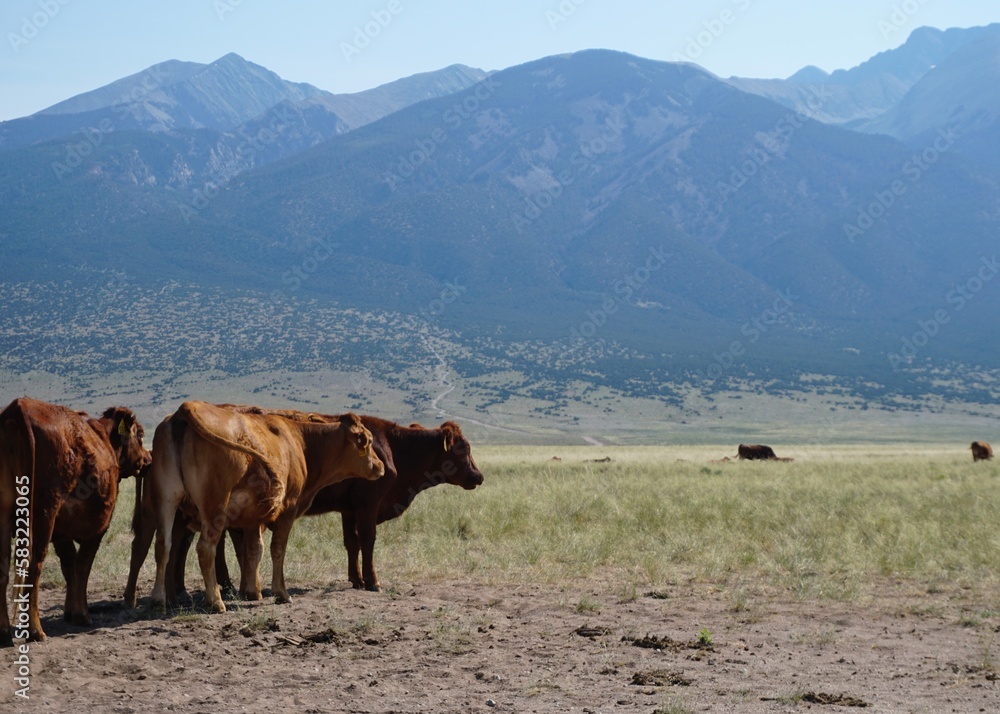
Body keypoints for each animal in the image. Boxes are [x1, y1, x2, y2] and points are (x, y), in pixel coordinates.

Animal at [0, 397, 150, 644]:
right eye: (140, 434)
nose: (148, 459)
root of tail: (20, 406)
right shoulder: (99, 528)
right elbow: (83, 566)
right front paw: (81, 613)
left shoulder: (61, 534)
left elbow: (69, 566)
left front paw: (70, 611)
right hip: (43, 513)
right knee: (34, 565)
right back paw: (36, 630)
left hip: (5, 515)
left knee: (3, 566)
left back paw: (3, 631)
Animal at [146, 401, 385, 612]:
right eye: (368, 441)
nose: (380, 466)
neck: (299, 442)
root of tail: (187, 408)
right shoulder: (288, 510)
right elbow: (277, 549)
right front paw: (281, 593)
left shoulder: (253, 518)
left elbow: (254, 549)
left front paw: (252, 592)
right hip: (215, 506)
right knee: (205, 548)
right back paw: (215, 602)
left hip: (166, 499)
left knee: (163, 545)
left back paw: (158, 600)